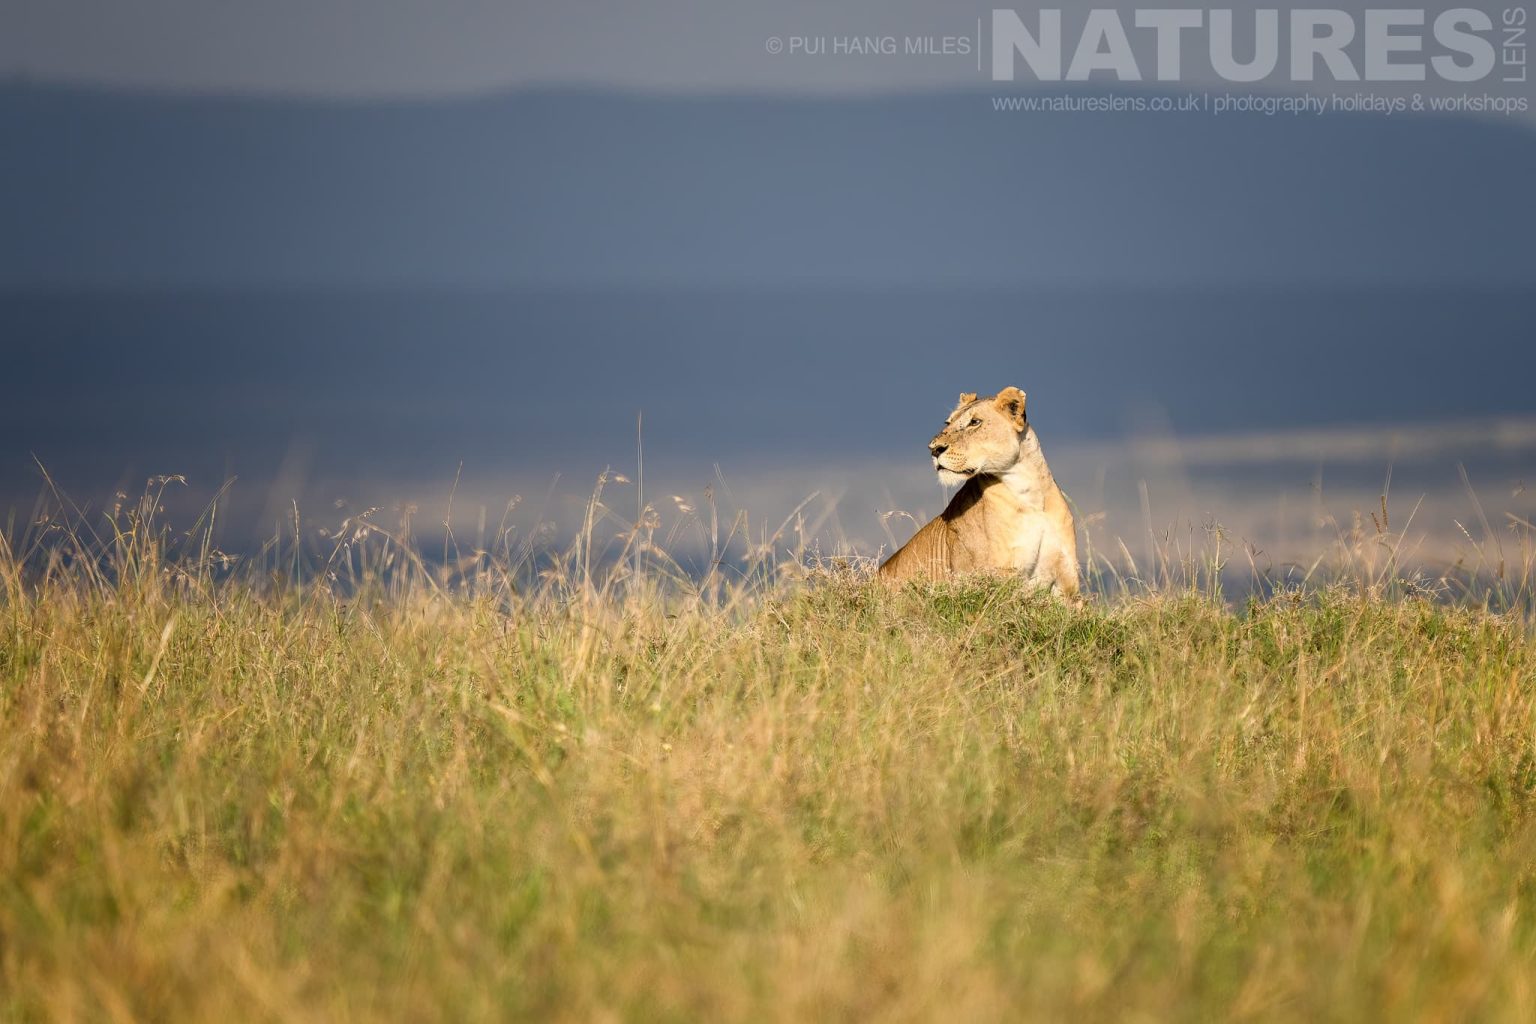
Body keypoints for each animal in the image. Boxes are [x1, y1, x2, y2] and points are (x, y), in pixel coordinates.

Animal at [878, 386, 1080, 599]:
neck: (1030, 493)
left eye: (974, 422)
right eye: (948, 423)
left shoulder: (1068, 589)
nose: (933, 449)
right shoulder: (996, 582)